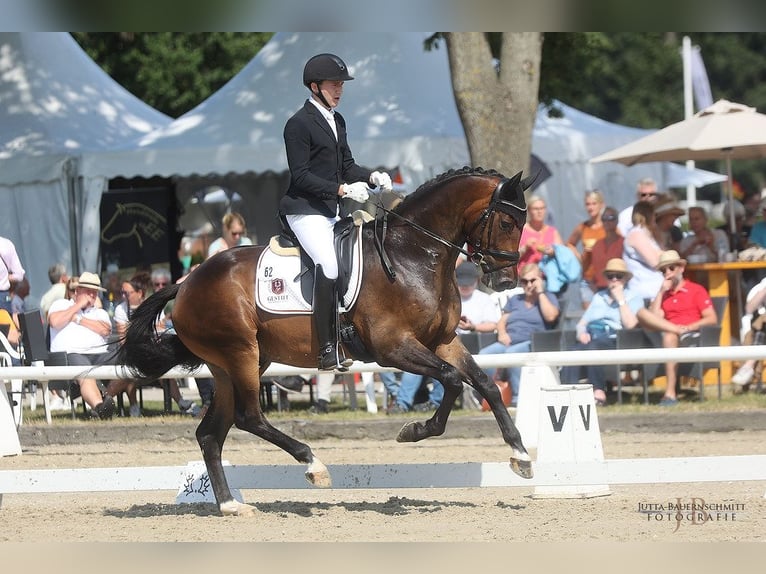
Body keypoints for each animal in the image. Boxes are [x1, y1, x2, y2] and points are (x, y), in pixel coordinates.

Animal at [118, 166, 536, 516]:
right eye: (506, 221)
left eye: (522, 222)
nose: (505, 282)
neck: (413, 255)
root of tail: (186, 282)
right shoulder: (393, 347)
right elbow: (451, 380)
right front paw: (414, 431)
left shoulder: (443, 341)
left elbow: (485, 384)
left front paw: (520, 455)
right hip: (241, 354)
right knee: (249, 416)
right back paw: (313, 465)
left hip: (231, 365)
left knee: (210, 433)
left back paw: (230, 506)